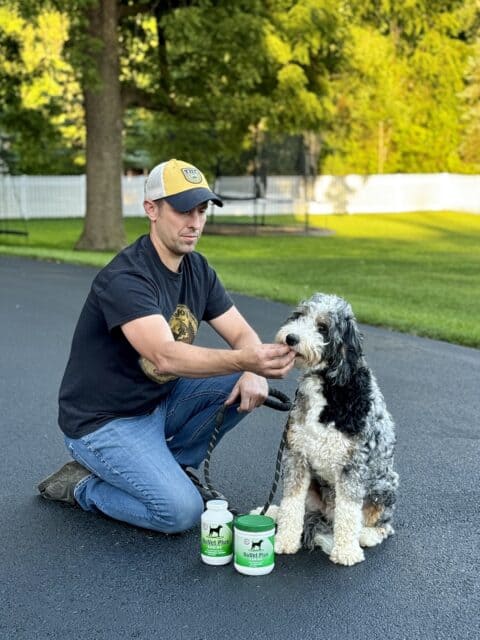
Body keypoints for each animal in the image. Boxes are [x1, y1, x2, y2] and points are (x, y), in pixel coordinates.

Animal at [270, 294, 398, 564]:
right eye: (299, 316)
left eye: (322, 327)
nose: (291, 338)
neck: (327, 386)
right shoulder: (296, 455)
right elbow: (292, 502)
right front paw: (285, 540)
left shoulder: (353, 466)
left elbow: (348, 512)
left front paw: (346, 551)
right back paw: (273, 512)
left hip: (385, 486)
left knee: (382, 524)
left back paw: (367, 535)